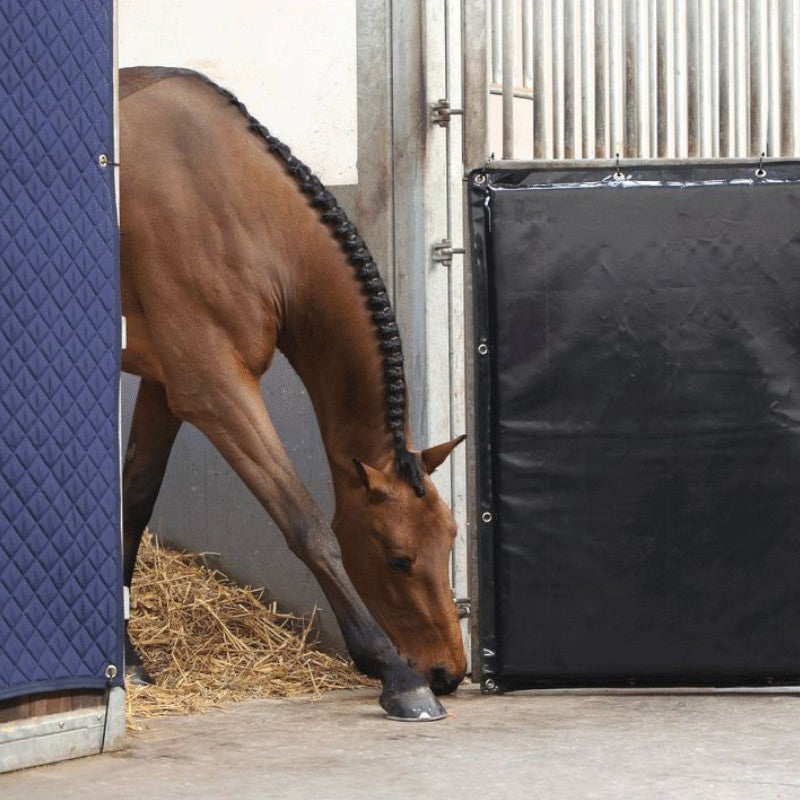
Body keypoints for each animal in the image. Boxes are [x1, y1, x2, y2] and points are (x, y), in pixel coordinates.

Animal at [118, 67, 467, 721]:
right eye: (397, 557)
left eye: (452, 538)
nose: (449, 672)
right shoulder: (214, 389)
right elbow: (307, 525)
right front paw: (394, 673)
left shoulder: (164, 386)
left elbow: (135, 502)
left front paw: (126, 659)